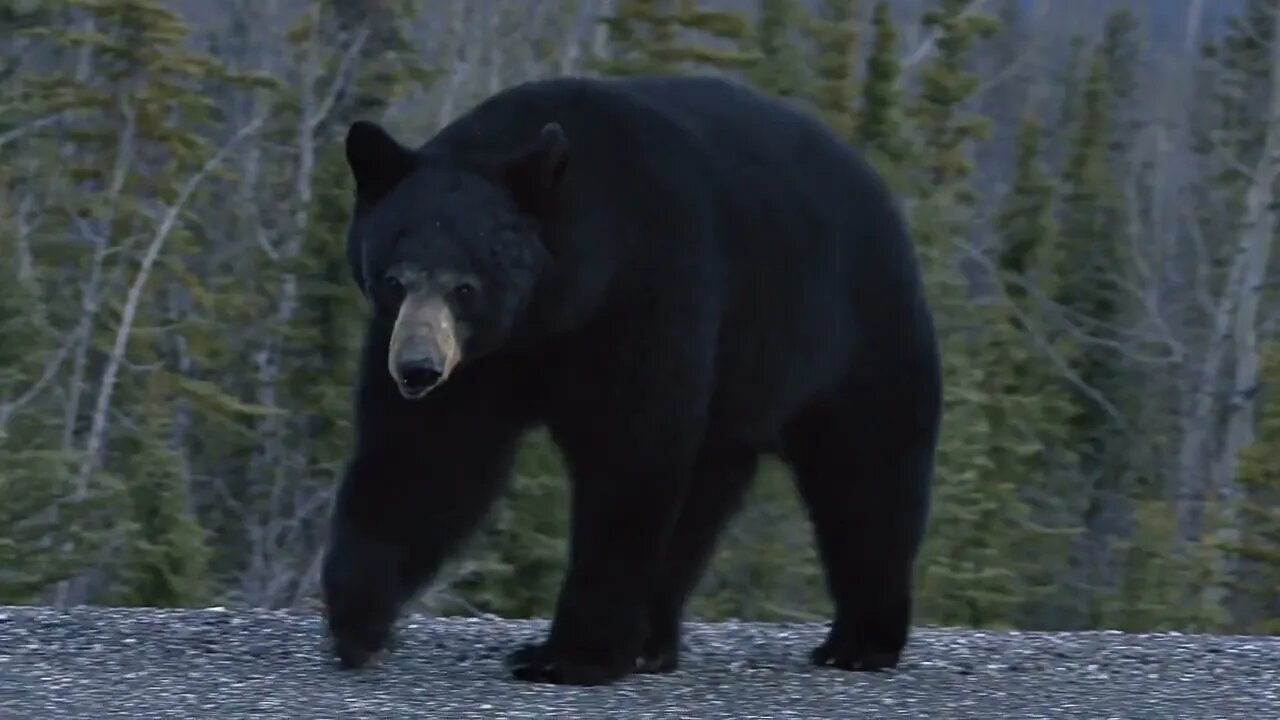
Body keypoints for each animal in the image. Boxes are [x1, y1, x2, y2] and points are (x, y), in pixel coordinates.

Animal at [320, 73, 942, 681]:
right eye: (394, 278)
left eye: (465, 286)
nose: (418, 369)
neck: (554, 306)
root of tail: (869, 176)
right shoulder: (479, 361)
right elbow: (425, 456)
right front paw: (359, 624)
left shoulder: (647, 290)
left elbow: (629, 452)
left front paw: (568, 655)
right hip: (737, 394)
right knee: (704, 500)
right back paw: (653, 642)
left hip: (853, 333)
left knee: (867, 472)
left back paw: (859, 641)